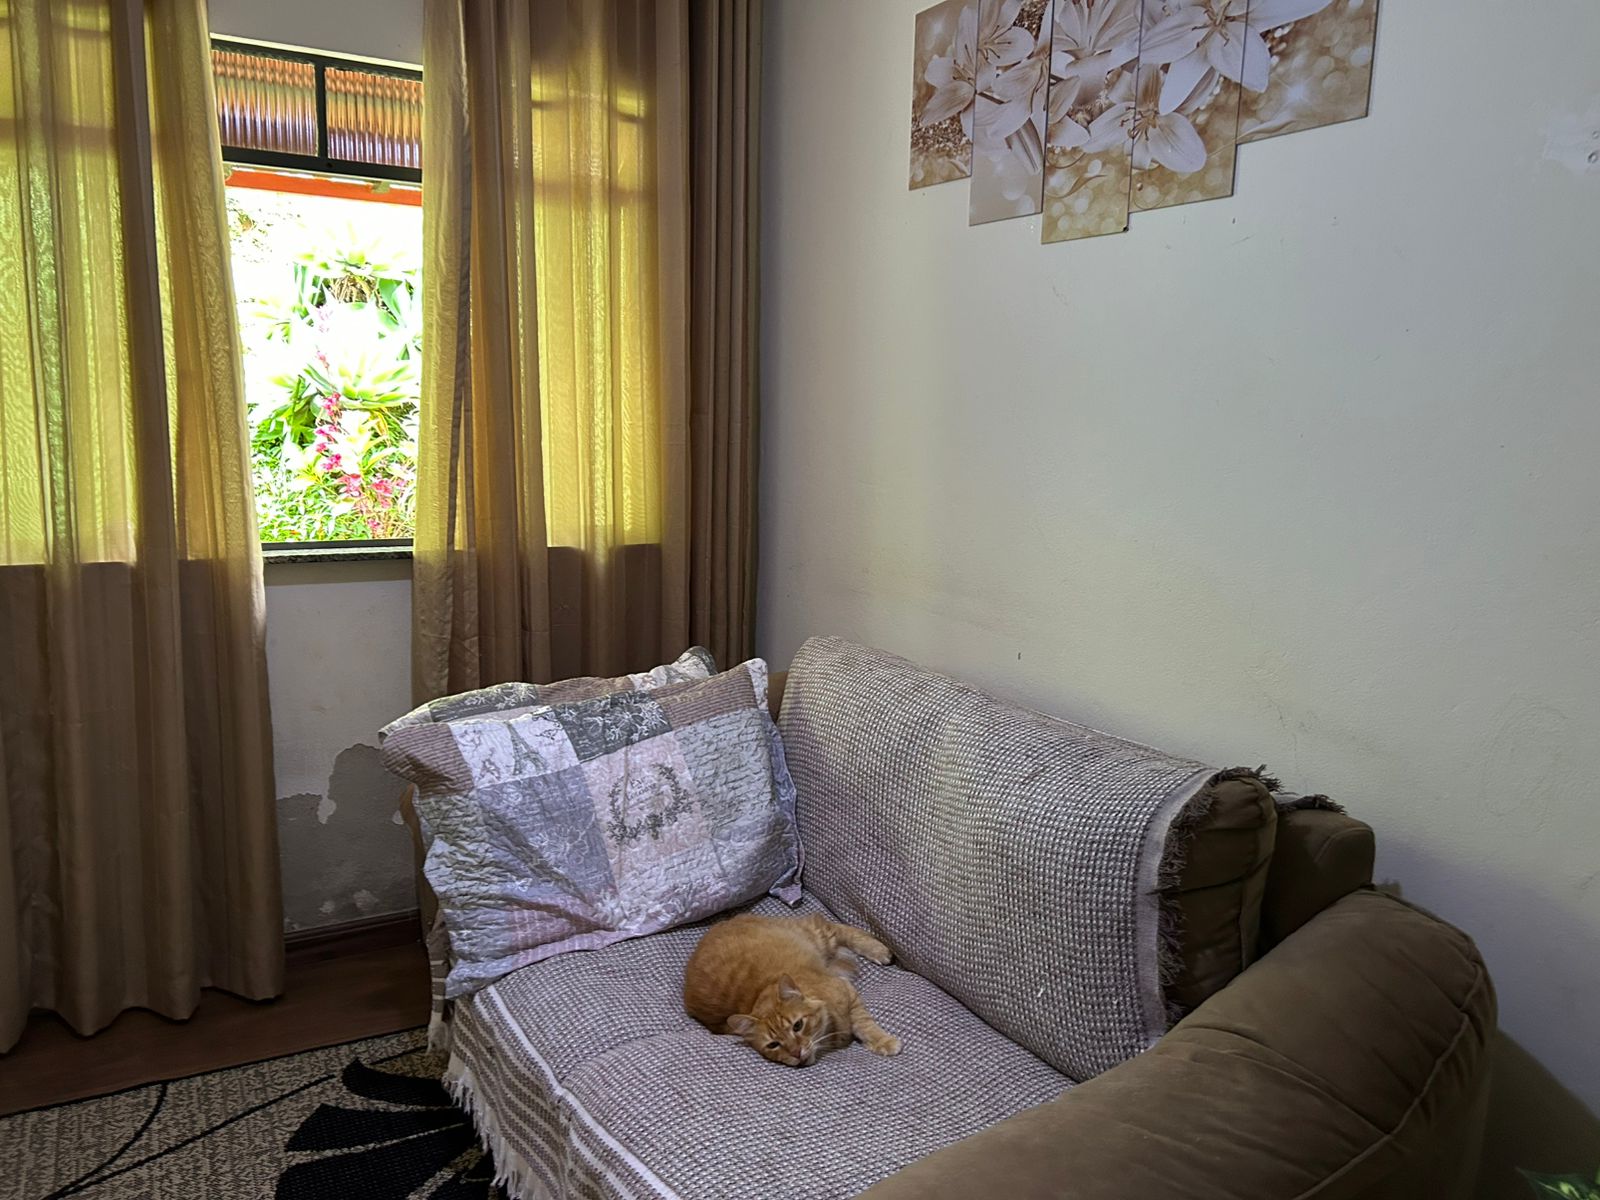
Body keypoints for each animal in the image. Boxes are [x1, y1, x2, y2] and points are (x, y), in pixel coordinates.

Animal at [683, 912, 902, 1066]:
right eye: (773, 1045)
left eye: (798, 1026)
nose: (796, 1053)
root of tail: (722, 922)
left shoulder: (848, 993)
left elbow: (865, 1024)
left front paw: (884, 1041)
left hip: (816, 935)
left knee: (834, 926)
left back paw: (879, 950)